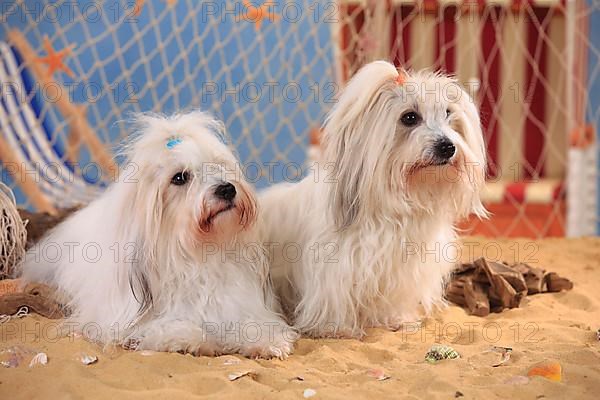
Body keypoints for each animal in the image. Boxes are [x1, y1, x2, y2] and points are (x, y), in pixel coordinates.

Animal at [19, 111, 296, 358]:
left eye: (218, 165)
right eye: (180, 178)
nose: (227, 189)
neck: (199, 255)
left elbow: (253, 324)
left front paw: (266, 342)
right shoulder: (133, 321)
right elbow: (171, 326)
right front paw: (192, 339)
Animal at [262, 61, 488, 340]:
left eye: (448, 113)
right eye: (409, 117)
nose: (447, 147)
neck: (392, 209)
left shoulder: (400, 272)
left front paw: (394, 319)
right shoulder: (334, 269)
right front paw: (334, 328)